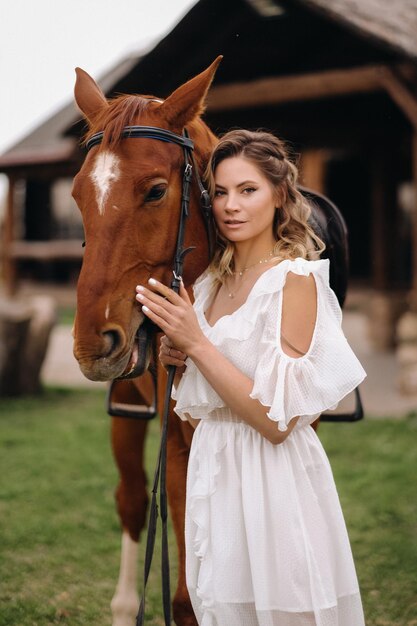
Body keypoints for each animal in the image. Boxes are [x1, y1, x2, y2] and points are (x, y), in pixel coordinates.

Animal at [72, 58, 221, 624]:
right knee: (133, 500)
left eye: (156, 191)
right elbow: (184, 601)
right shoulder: (176, 449)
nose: (92, 341)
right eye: (77, 195)